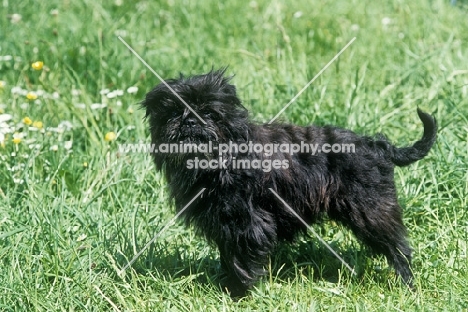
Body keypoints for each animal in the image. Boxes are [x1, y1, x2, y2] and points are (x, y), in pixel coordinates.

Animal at [141, 69, 436, 296]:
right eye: (172, 112)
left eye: (210, 113)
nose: (190, 120)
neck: (222, 158)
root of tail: (377, 146)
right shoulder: (224, 223)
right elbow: (228, 254)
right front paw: (226, 285)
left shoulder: (248, 223)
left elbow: (241, 258)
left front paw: (239, 293)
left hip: (371, 210)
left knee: (398, 247)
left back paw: (407, 284)